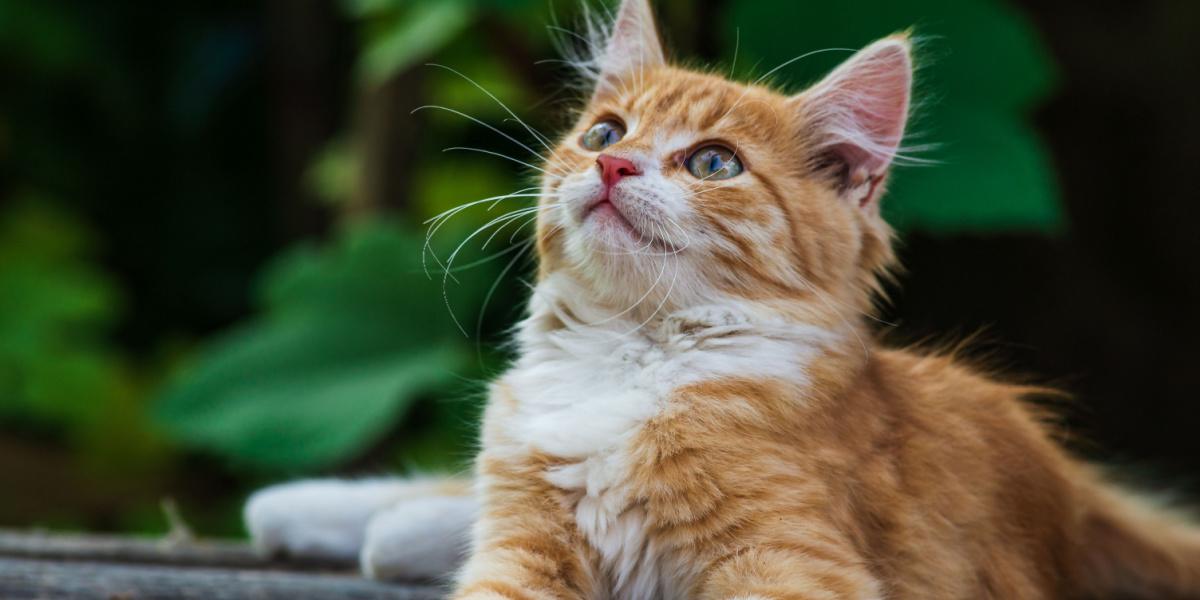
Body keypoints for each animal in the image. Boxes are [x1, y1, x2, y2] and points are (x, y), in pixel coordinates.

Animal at [241, 2, 1200, 597]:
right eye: (605, 132)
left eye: (712, 163)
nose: (612, 165)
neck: (628, 357)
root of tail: (1080, 499)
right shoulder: (525, 527)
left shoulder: (796, 562)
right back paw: (312, 511)